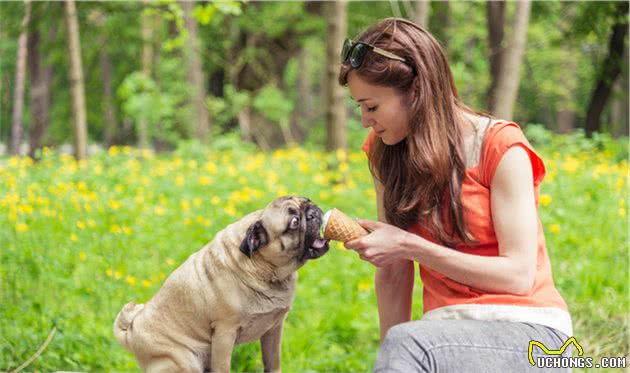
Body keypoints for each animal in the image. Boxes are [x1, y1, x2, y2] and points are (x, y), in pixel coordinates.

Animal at [113, 196, 330, 370]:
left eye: (307, 200)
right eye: (294, 222)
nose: (312, 211)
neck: (266, 269)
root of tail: (130, 333)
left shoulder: (274, 328)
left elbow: (273, 362)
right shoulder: (225, 333)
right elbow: (223, 367)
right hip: (184, 362)